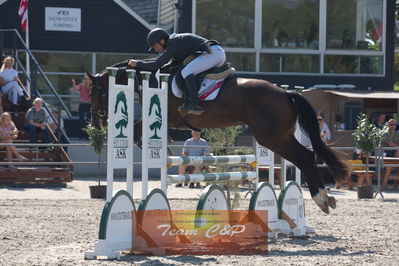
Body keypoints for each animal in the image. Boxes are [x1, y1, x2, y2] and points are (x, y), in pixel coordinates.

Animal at [86, 60, 346, 214]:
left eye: (93, 91)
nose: (96, 122)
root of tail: (285, 93)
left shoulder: (169, 117)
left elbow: (139, 128)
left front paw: (157, 147)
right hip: (280, 135)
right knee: (308, 156)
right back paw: (325, 199)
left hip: (271, 138)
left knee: (304, 157)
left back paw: (321, 199)